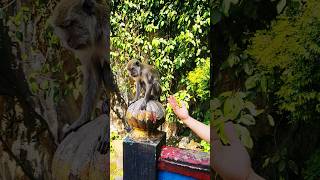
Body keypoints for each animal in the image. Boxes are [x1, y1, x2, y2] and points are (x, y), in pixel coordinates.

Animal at [50, 0, 119, 152]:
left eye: (69, 24)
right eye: (62, 28)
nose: (68, 41)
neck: (97, 35)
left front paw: (107, 131)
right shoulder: (87, 48)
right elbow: (92, 71)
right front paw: (83, 119)